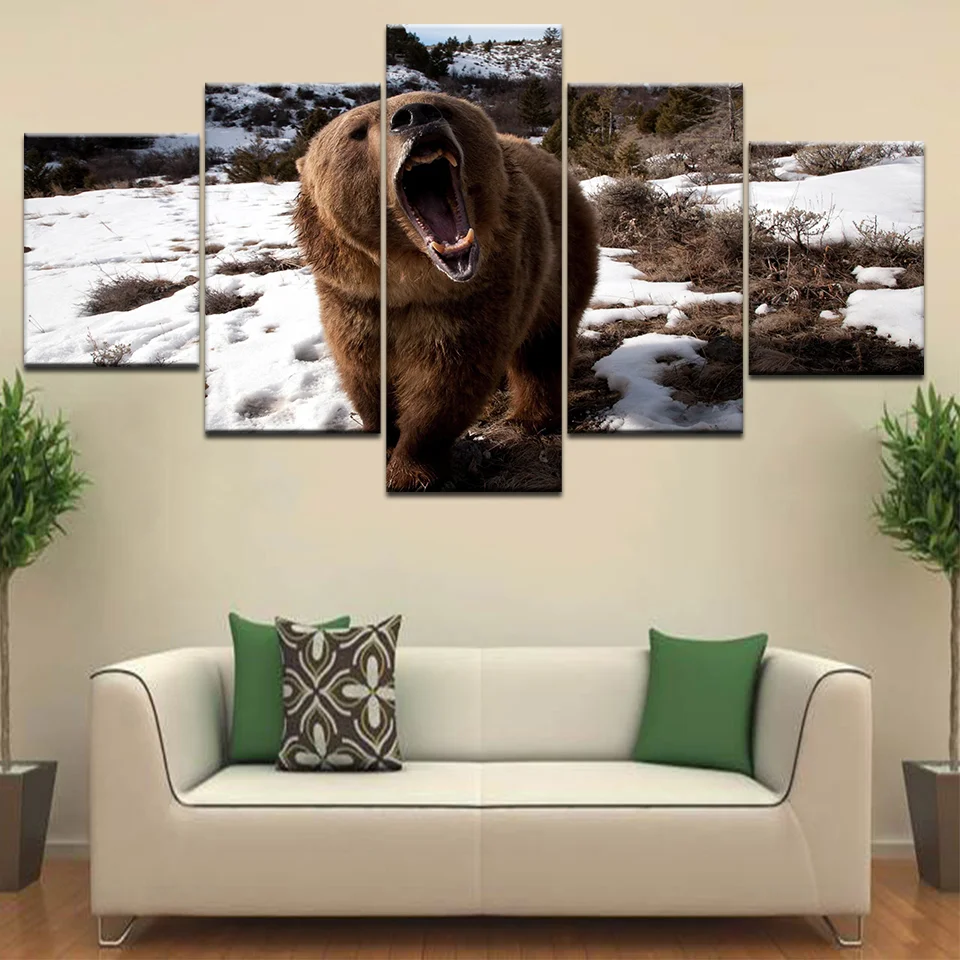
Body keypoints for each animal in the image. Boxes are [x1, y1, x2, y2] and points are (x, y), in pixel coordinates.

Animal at [294, 93, 599, 487]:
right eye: (357, 131)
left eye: (442, 106)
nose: (415, 116)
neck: (408, 281)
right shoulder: (353, 300)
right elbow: (363, 373)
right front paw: (381, 435)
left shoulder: (471, 299)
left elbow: (446, 383)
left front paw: (410, 470)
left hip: (562, 261)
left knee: (543, 347)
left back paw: (529, 417)